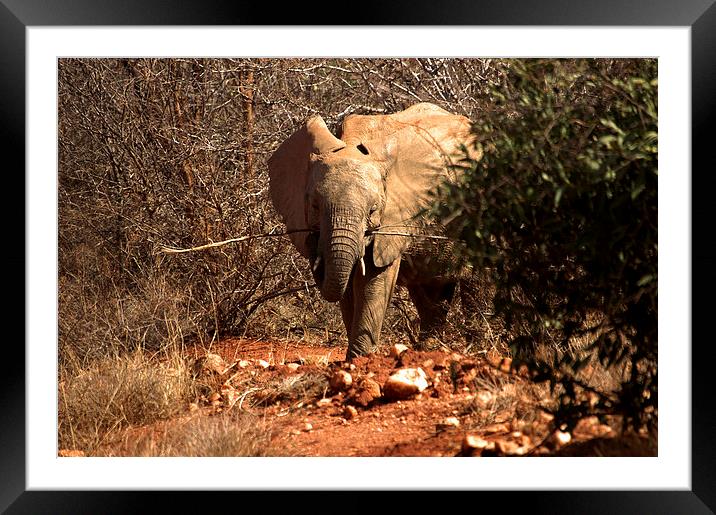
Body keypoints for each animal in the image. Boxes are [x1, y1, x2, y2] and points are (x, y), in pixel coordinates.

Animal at [268, 101, 482, 358]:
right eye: (315, 206)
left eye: (373, 210)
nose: (313, 248)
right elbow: (348, 287)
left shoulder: (394, 221)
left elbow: (373, 280)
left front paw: (360, 359)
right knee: (431, 292)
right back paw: (428, 350)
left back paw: (478, 346)